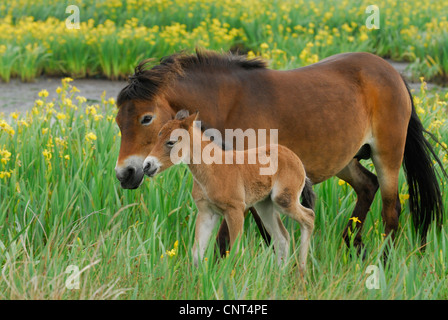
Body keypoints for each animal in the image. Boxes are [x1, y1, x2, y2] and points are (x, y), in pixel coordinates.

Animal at [114, 50, 444, 254]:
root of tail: (391, 72)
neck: (230, 105)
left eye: (146, 118)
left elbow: (230, 239)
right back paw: (351, 247)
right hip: (345, 160)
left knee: (391, 210)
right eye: (118, 121)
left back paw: (383, 263)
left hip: (387, 155)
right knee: (367, 186)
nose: (125, 173)